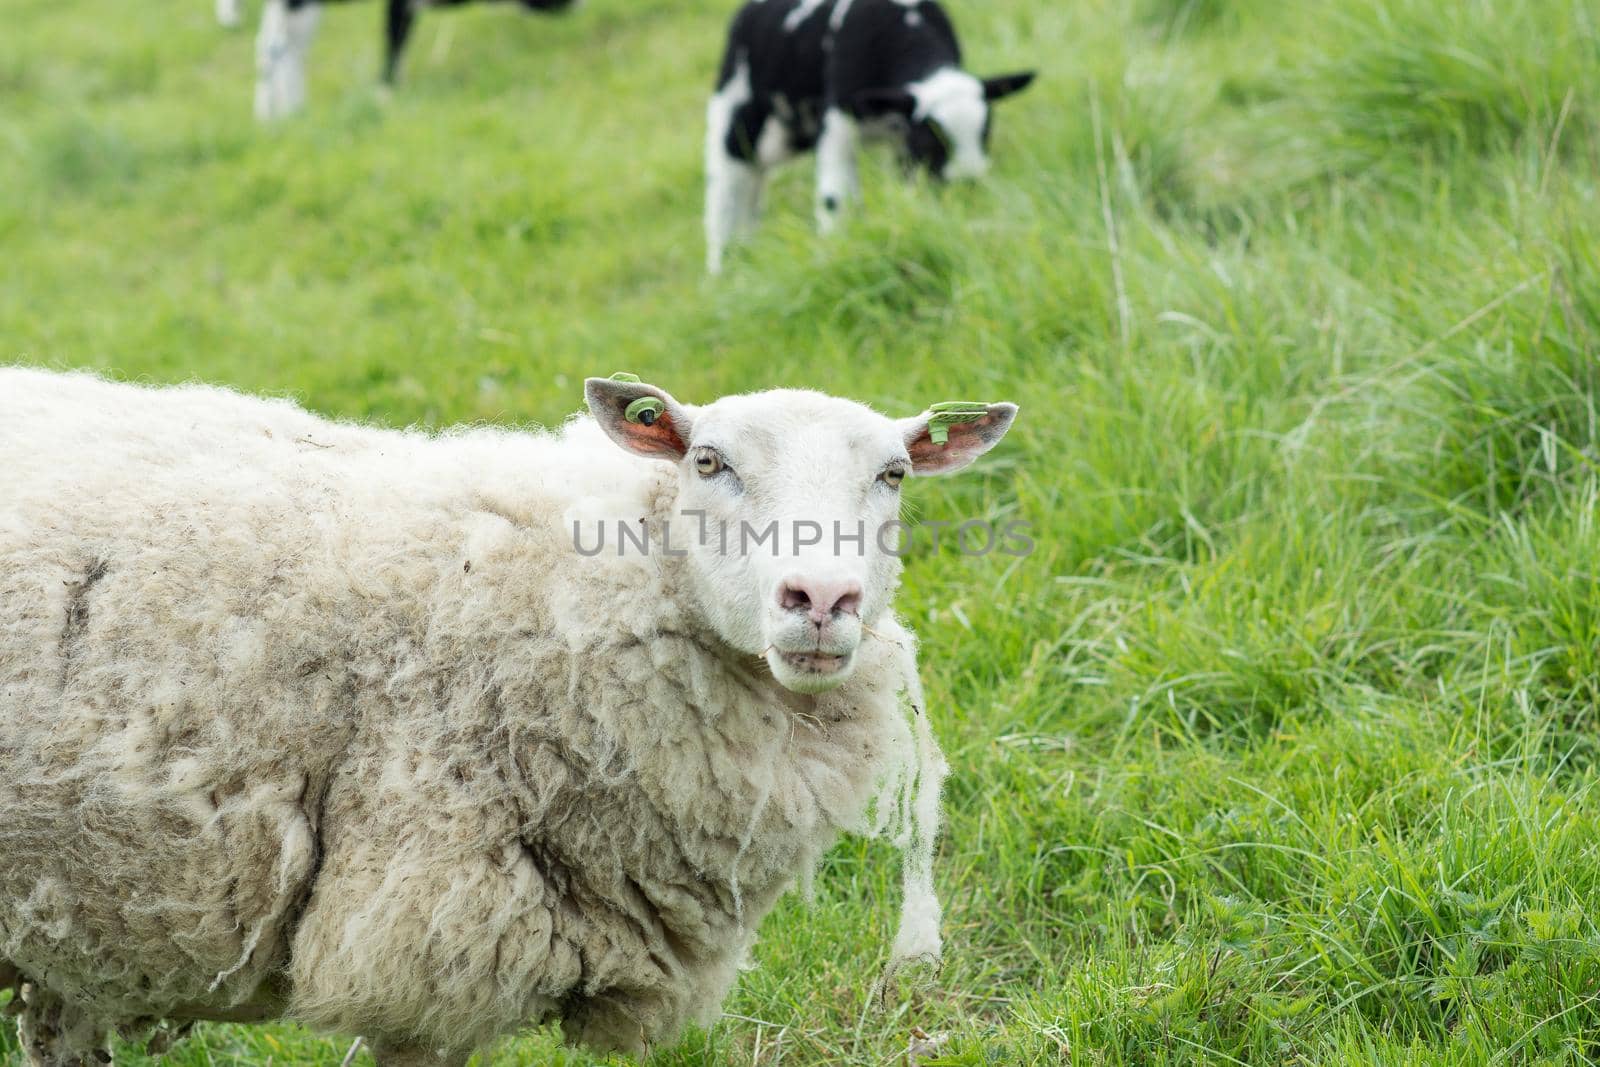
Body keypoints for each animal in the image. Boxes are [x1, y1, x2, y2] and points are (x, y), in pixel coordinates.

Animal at [249, 0, 576, 119]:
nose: (575, 7)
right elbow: (395, 36)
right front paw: (387, 90)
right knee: (280, 48)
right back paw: (288, 111)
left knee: (272, 47)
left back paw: (273, 114)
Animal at [704, 0, 1030, 273]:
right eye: (930, 139)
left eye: (985, 132)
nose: (967, 184)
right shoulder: (837, 122)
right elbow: (835, 200)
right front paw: (834, 252)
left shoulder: (903, 140)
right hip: (733, 120)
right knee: (725, 193)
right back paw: (720, 274)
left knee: (751, 189)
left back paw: (747, 255)